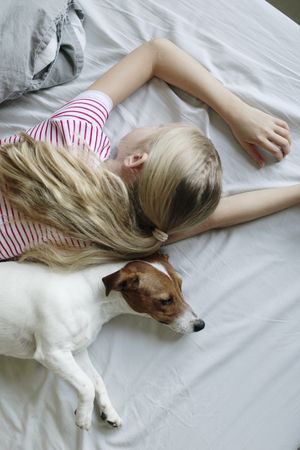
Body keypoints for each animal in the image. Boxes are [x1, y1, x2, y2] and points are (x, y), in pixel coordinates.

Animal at [0, 255, 204, 430]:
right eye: (165, 300)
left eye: (181, 286)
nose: (200, 325)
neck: (90, 296)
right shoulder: (52, 352)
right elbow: (86, 385)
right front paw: (83, 415)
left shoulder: (78, 351)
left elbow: (96, 380)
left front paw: (108, 411)